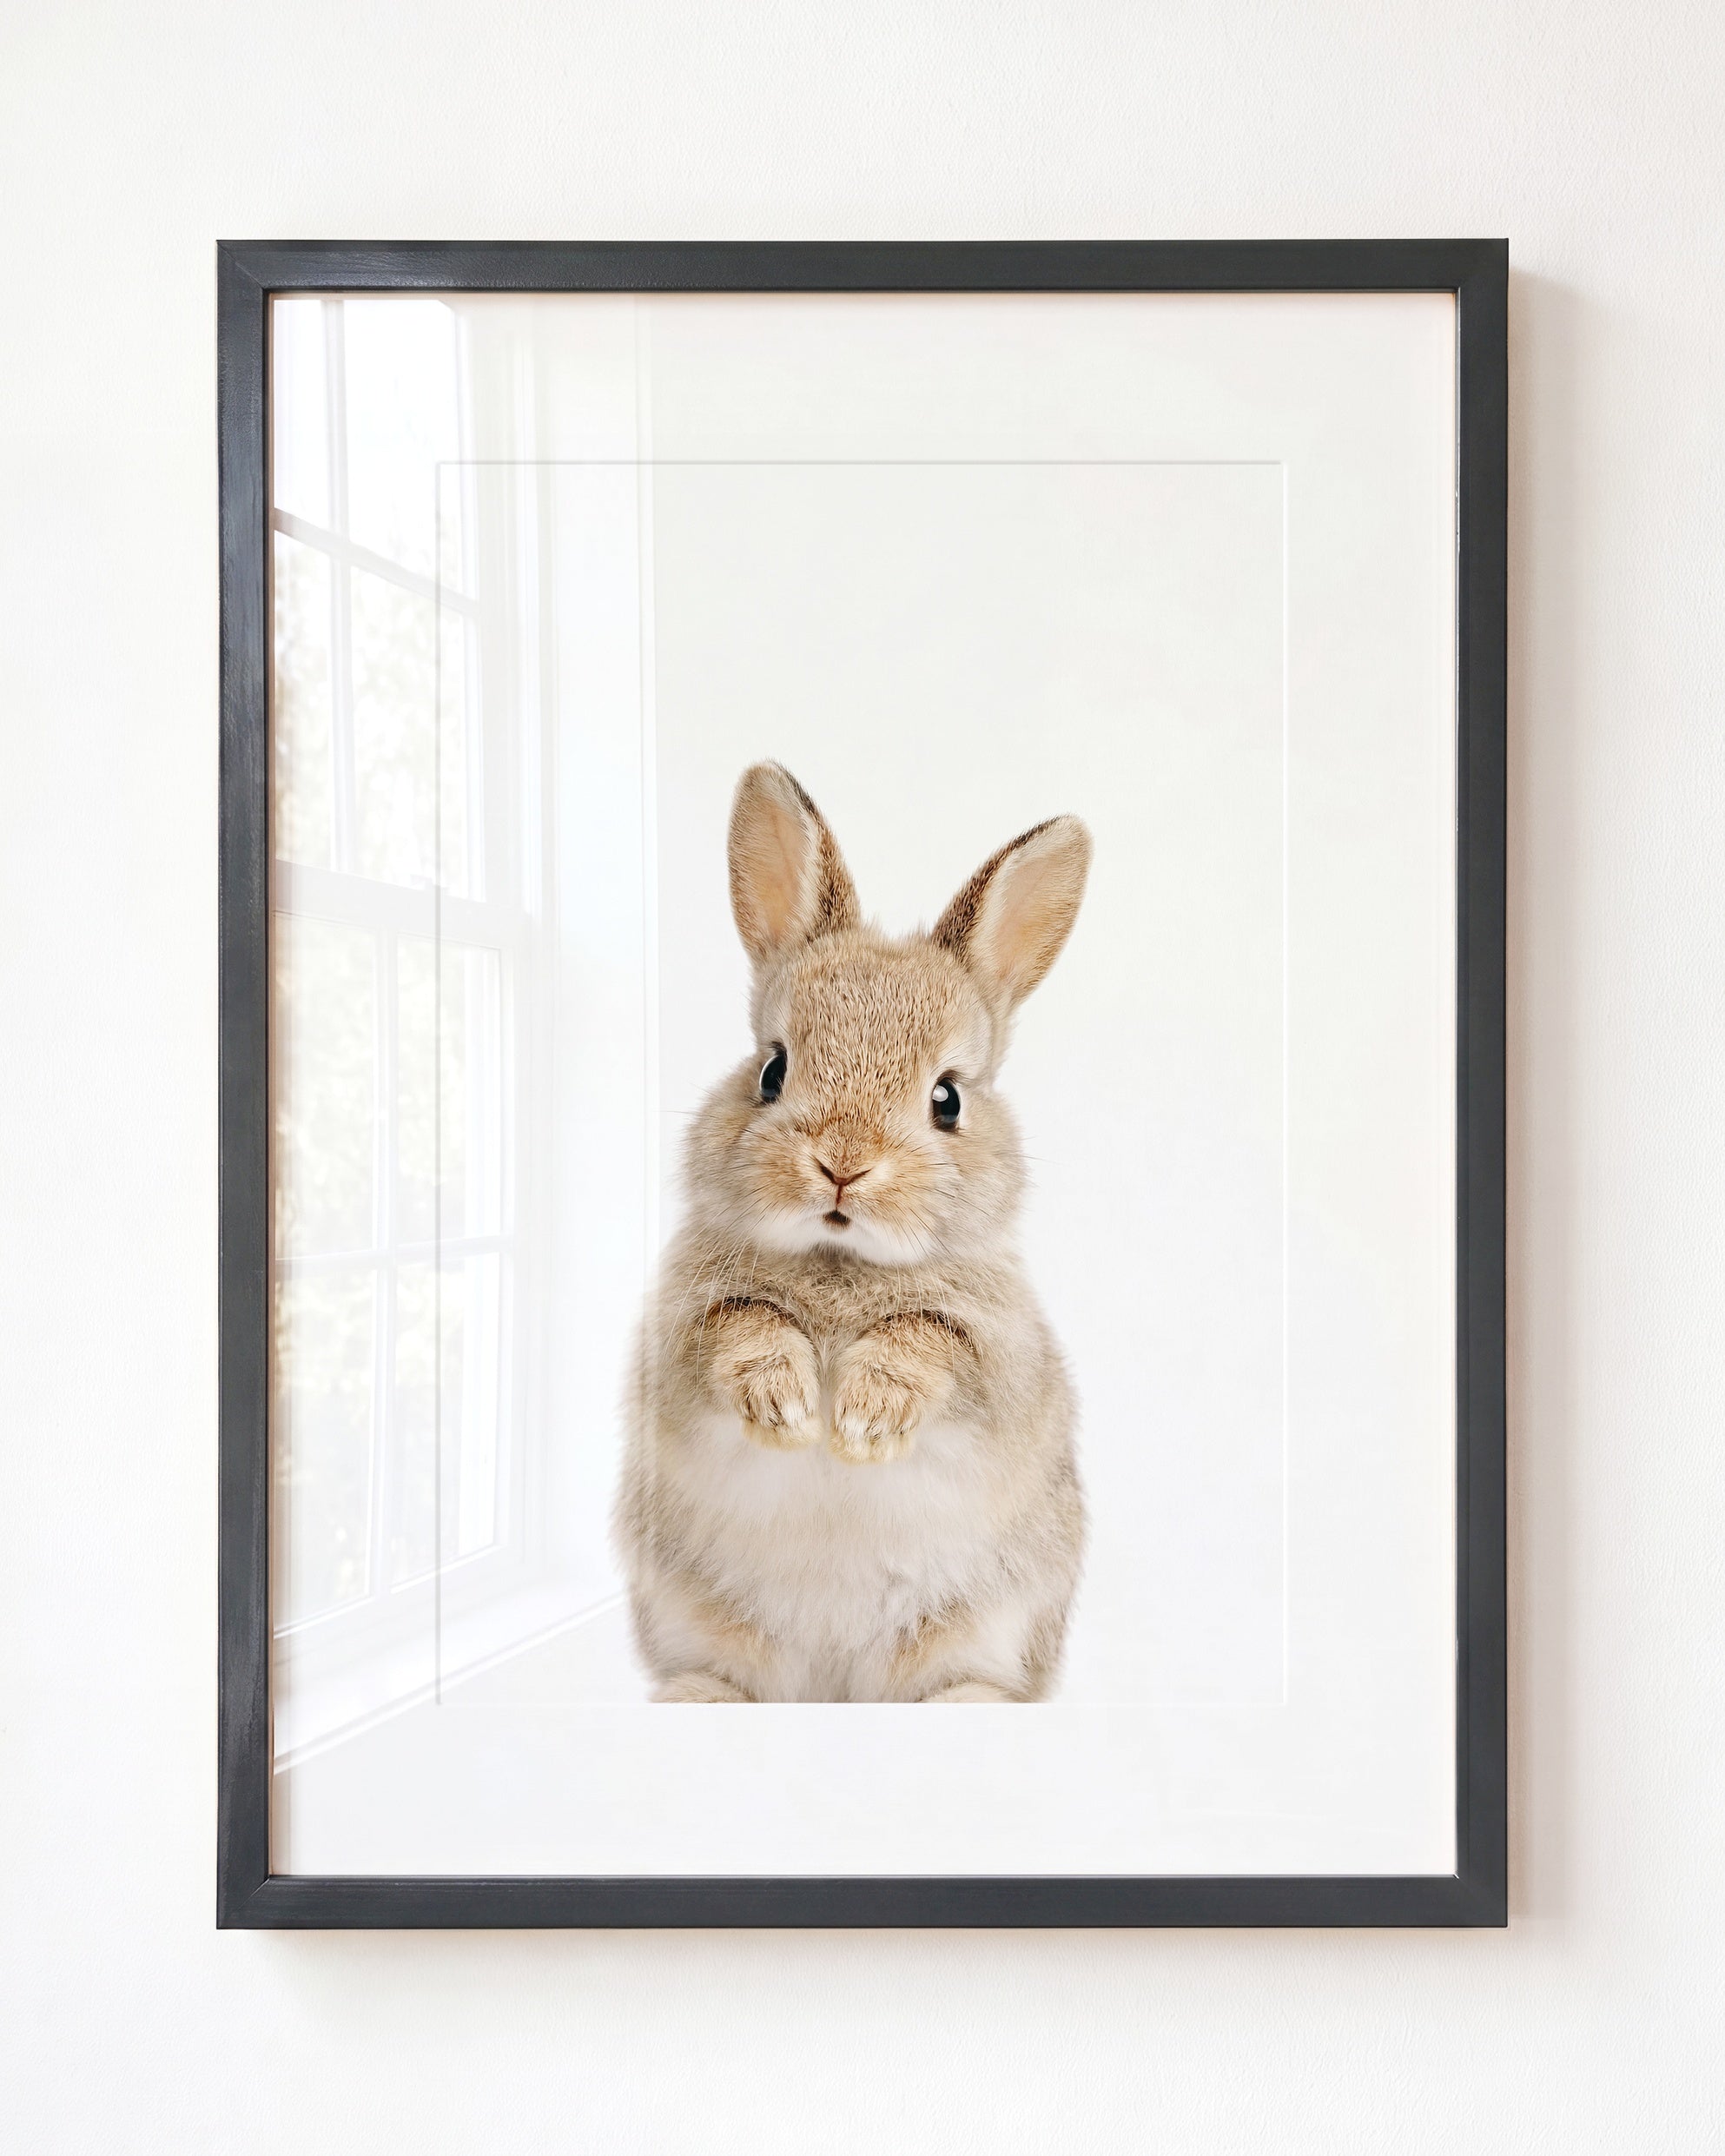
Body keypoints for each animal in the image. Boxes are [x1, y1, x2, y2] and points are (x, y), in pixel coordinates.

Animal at [616, 762, 1091, 1702]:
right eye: (772, 1069)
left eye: (947, 1098)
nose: (842, 1164)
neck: (840, 1261)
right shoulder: (680, 1339)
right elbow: (741, 1327)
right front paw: (788, 1406)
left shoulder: (1000, 1359)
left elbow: (929, 1341)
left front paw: (864, 1420)